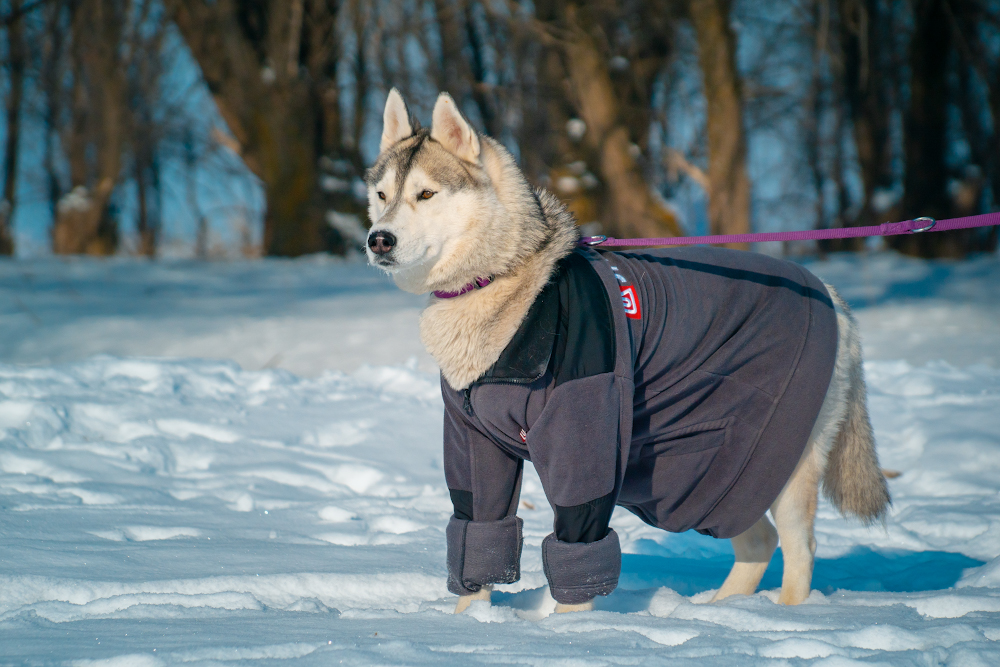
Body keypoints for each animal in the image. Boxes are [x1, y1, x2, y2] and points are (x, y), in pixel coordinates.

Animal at [366, 88, 892, 616]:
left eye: (426, 194)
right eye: (382, 196)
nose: (378, 239)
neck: (503, 278)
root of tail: (830, 295)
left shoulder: (584, 431)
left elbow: (577, 546)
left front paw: (568, 629)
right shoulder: (474, 444)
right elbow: (479, 536)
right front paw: (468, 623)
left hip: (775, 465)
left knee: (799, 547)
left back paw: (783, 614)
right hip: (703, 476)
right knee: (758, 539)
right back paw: (716, 611)